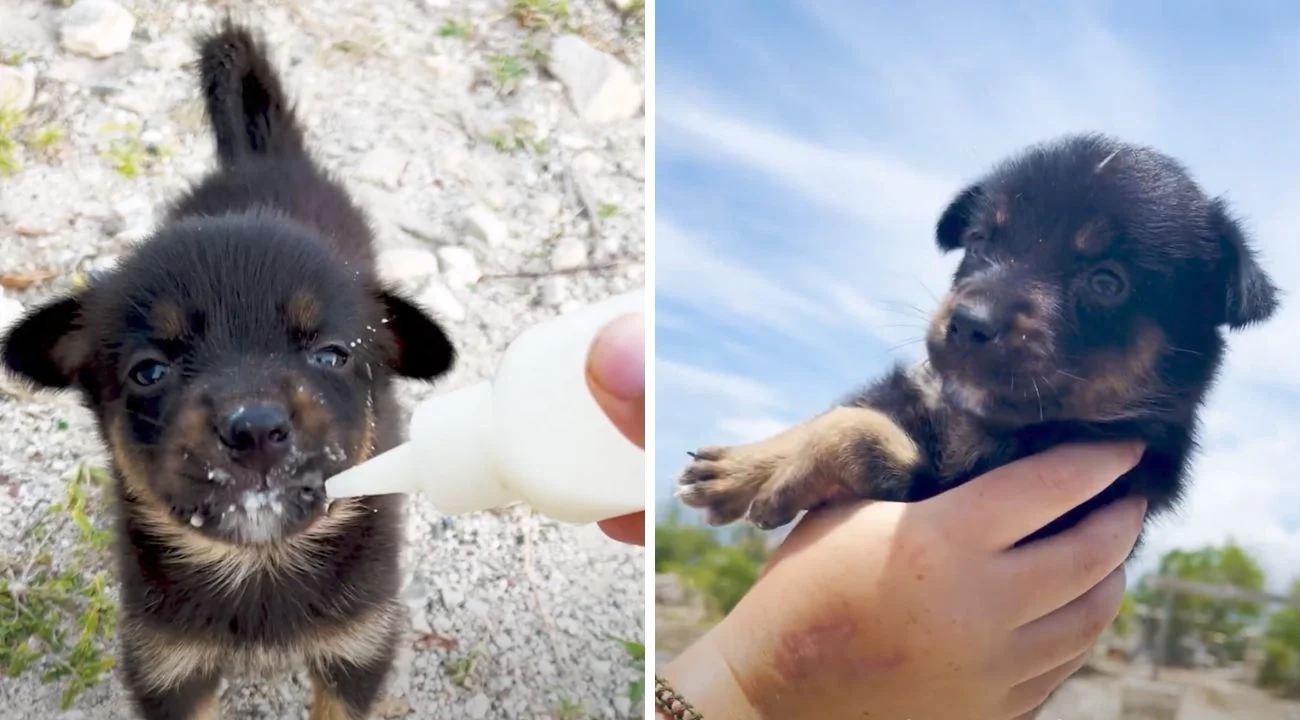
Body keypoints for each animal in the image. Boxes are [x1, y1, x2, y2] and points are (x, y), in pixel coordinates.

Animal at [1, 22, 457, 717]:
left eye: (332, 354)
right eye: (149, 372)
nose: (255, 430)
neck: (260, 566)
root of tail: (256, 158)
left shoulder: (358, 648)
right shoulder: (168, 664)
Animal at [681, 130, 1279, 543]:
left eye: (1107, 282)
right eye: (979, 239)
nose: (970, 323)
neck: (978, 417)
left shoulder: (951, 495)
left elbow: (856, 430)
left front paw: (783, 477)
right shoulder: (915, 390)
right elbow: (840, 412)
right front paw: (743, 467)